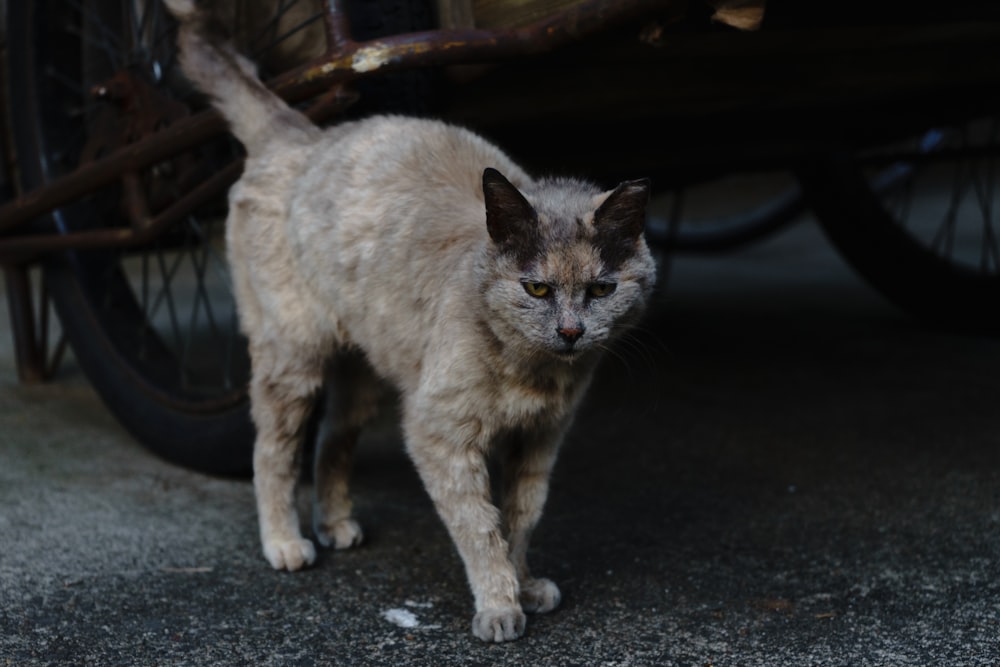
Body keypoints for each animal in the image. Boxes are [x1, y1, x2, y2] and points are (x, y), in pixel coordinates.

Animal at [164, 1, 656, 648]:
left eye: (601, 289)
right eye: (537, 288)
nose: (572, 332)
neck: (534, 374)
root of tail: (300, 133)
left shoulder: (542, 438)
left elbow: (523, 516)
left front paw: (524, 583)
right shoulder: (439, 431)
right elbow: (480, 525)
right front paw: (499, 605)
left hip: (368, 370)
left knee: (332, 439)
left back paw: (336, 523)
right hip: (291, 356)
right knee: (272, 451)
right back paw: (285, 543)